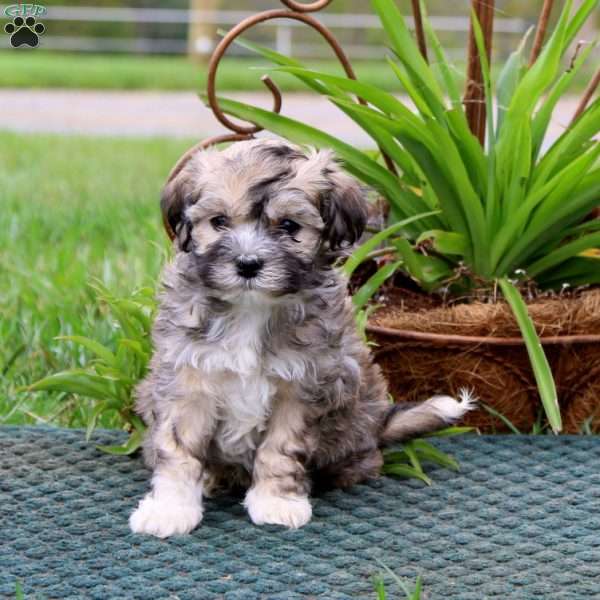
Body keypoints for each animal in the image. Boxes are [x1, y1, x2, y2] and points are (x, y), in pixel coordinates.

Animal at [127, 138, 474, 536]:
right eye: (218, 222)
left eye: (289, 226)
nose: (248, 264)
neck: (250, 309)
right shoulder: (189, 377)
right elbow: (178, 447)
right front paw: (170, 508)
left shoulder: (302, 386)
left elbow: (280, 450)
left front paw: (277, 501)